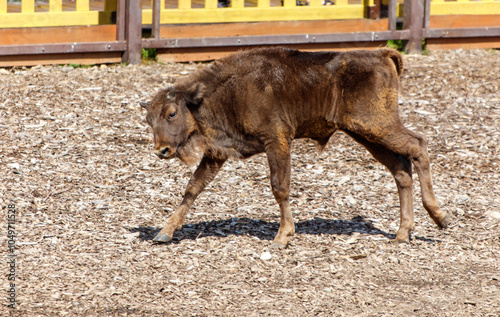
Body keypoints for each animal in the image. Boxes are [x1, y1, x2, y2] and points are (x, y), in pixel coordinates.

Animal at [141, 46, 450, 247]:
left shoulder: (277, 141)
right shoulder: (216, 154)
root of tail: (383, 54)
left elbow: (280, 186)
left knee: (418, 146)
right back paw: (402, 233)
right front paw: (164, 233)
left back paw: (439, 217)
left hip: (378, 126)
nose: (161, 150)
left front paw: (282, 236)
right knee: (401, 169)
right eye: (148, 119)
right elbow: (193, 188)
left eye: (171, 113)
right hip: (366, 134)